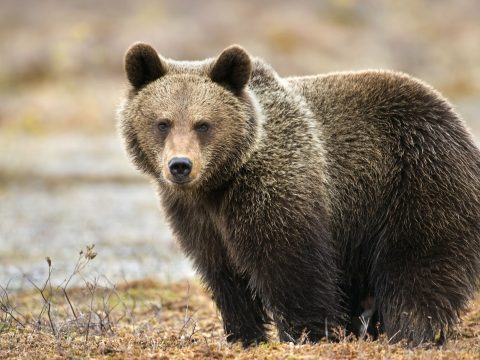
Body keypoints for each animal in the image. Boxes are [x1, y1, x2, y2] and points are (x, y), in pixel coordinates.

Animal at [118, 42, 480, 346]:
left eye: (203, 124)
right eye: (162, 123)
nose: (180, 166)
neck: (218, 183)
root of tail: (456, 119)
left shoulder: (276, 188)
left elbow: (292, 267)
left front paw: (308, 334)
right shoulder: (197, 217)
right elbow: (224, 276)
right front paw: (244, 336)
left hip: (418, 176)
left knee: (418, 264)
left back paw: (410, 332)